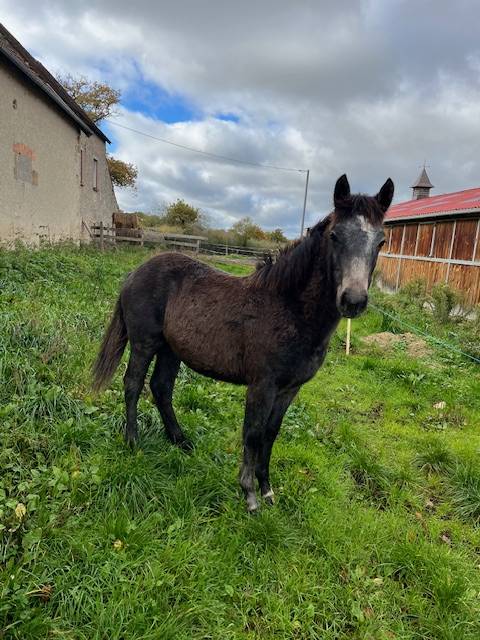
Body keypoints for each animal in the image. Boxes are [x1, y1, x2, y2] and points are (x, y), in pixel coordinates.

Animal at [93, 174, 394, 511]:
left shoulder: (290, 389)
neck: (289, 308)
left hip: (172, 350)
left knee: (161, 388)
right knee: (133, 384)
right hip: (144, 343)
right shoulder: (262, 384)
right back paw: (132, 441)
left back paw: (180, 441)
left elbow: (270, 434)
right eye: (335, 236)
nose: (353, 301)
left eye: (381, 241)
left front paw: (267, 490)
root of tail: (136, 271)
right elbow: (252, 433)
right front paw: (249, 495)